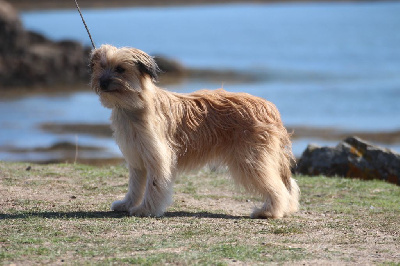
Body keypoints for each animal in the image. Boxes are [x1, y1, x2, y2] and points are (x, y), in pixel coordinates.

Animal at [89, 43, 298, 218]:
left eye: (120, 69)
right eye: (101, 66)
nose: (102, 83)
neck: (133, 106)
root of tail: (269, 107)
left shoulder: (158, 158)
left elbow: (154, 186)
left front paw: (145, 210)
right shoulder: (137, 158)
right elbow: (135, 186)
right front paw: (126, 204)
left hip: (251, 160)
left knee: (277, 187)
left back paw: (269, 212)